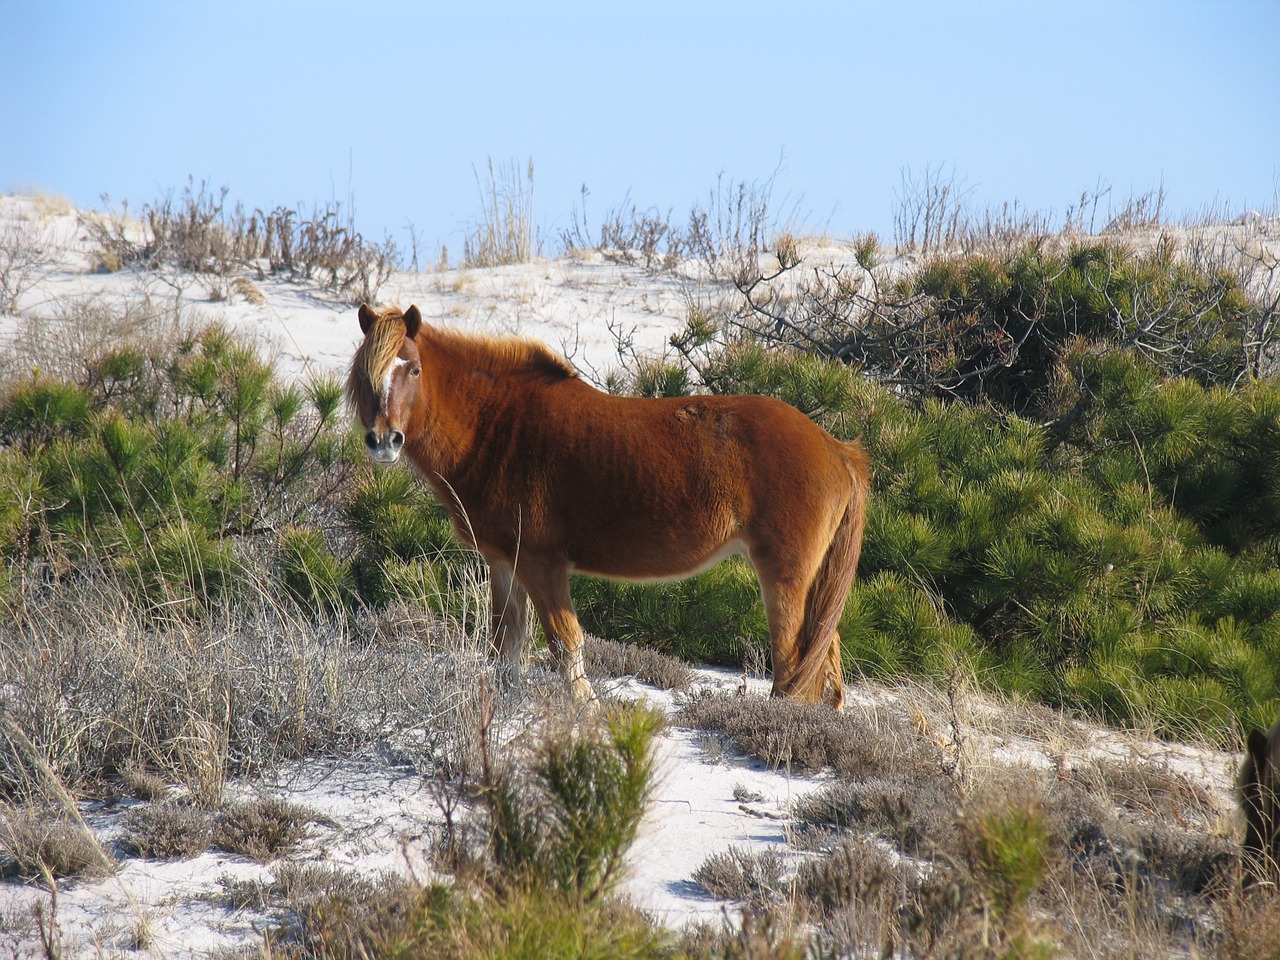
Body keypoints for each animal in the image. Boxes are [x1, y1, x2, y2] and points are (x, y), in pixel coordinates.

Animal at [348, 304, 870, 711]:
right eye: (365, 374)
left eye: (414, 368)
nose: (384, 441)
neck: (499, 427)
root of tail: (837, 449)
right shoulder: (504, 562)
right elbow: (505, 647)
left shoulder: (541, 562)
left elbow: (565, 643)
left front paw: (586, 712)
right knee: (826, 660)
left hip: (785, 576)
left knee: (794, 662)